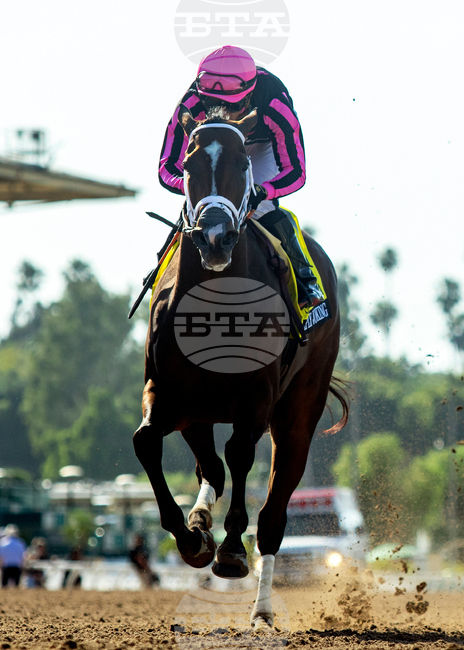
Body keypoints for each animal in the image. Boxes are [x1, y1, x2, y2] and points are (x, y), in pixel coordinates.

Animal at [133, 105, 348, 628]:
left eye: (243, 162)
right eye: (188, 165)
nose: (215, 239)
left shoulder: (256, 398)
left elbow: (240, 456)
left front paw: (230, 551)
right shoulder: (169, 393)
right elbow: (149, 442)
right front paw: (193, 537)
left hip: (298, 413)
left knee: (272, 516)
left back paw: (262, 610)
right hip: (199, 409)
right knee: (208, 468)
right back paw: (200, 521)